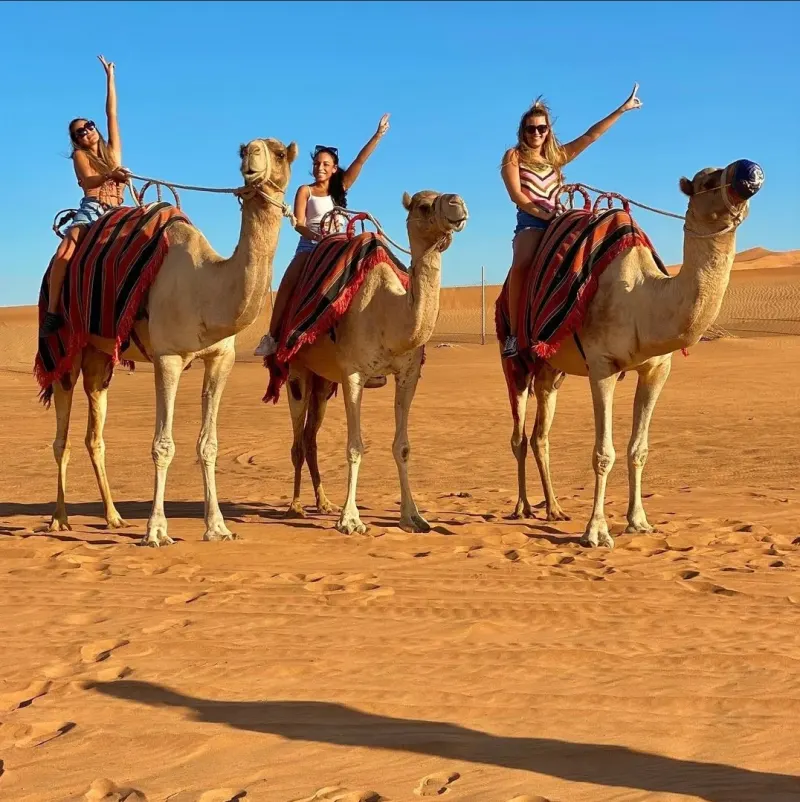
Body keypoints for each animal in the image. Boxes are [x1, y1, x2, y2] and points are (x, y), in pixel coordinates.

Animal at [45, 137, 297, 546]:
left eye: (279, 153)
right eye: (244, 149)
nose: (251, 158)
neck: (206, 288)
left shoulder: (221, 358)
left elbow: (208, 444)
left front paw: (218, 527)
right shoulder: (168, 357)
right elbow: (162, 445)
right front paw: (156, 531)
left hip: (99, 358)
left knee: (94, 434)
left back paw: (113, 517)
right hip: (65, 347)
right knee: (61, 437)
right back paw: (58, 519)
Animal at [279, 191, 468, 535]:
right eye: (424, 205)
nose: (457, 203)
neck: (387, 312)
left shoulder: (408, 373)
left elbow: (402, 446)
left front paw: (413, 517)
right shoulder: (353, 373)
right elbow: (355, 446)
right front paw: (350, 520)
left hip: (323, 382)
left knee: (311, 437)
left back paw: (323, 503)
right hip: (297, 370)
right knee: (298, 439)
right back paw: (296, 506)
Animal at [505, 159, 764, 548]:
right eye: (706, 181)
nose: (750, 172)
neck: (643, 299)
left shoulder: (657, 369)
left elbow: (638, 450)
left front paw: (639, 522)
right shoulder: (602, 366)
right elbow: (603, 453)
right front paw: (596, 532)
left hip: (551, 369)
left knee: (540, 435)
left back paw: (554, 509)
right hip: (517, 361)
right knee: (519, 436)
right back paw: (522, 507)